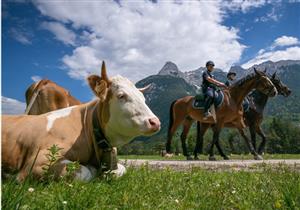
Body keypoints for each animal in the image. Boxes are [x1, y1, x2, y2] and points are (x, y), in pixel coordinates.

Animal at [1, 61, 162, 181]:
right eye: (121, 95)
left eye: (143, 99)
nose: (155, 122)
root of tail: (45, 80)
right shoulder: (39, 162)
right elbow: (85, 172)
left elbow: (122, 169)